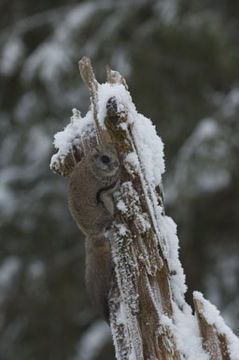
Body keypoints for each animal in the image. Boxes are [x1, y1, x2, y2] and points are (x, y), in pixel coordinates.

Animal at [67, 143, 121, 320]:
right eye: (105, 158)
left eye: (113, 152)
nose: (116, 164)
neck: (91, 165)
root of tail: (92, 234)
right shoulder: (103, 180)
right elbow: (113, 180)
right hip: (102, 203)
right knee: (106, 197)